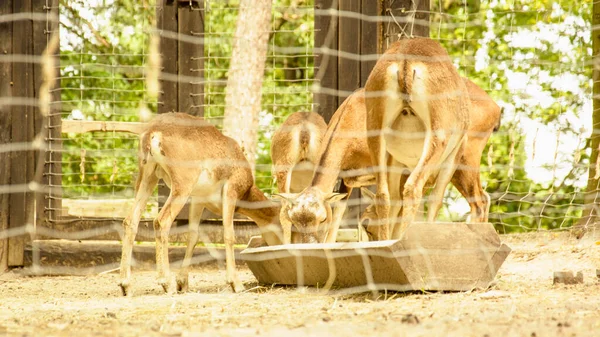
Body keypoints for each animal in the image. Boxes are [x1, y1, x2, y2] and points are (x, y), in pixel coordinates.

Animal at [120, 112, 284, 294]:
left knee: (130, 221)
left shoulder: (198, 201)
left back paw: (126, 285)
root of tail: (153, 131)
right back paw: (166, 283)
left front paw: (182, 283)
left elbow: (193, 235)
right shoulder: (230, 191)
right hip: (180, 188)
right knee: (161, 221)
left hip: (148, 178)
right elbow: (229, 235)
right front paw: (236, 283)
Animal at [366, 36, 474, 240]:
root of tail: (406, 62)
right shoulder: (452, 157)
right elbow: (435, 199)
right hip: (436, 139)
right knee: (413, 188)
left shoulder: (396, 161)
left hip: (376, 136)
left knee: (384, 195)